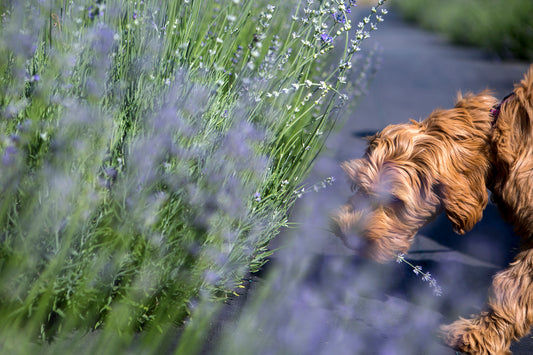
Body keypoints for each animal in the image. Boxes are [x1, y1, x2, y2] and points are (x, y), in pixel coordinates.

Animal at [330, 64, 532, 355]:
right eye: (357, 185)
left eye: (395, 200)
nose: (347, 235)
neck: (496, 138)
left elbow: (513, 286)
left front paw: (478, 335)